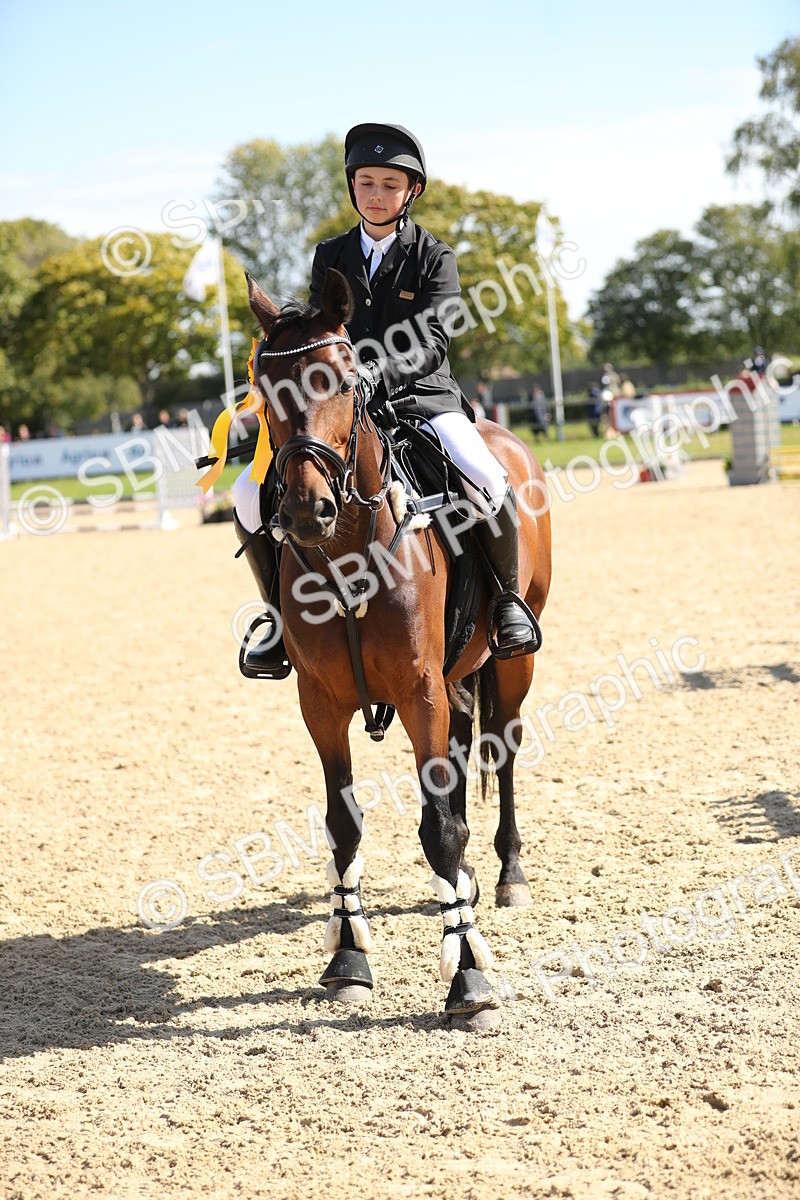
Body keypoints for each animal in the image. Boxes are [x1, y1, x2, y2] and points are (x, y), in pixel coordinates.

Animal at [245, 267, 552, 1029]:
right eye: (266, 390)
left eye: (343, 378)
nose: (304, 511)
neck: (347, 553)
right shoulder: (321, 703)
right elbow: (343, 824)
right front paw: (349, 959)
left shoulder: (419, 690)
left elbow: (438, 827)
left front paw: (468, 978)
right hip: (456, 677)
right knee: (466, 749)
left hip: (514, 661)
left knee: (502, 752)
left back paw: (508, 873)